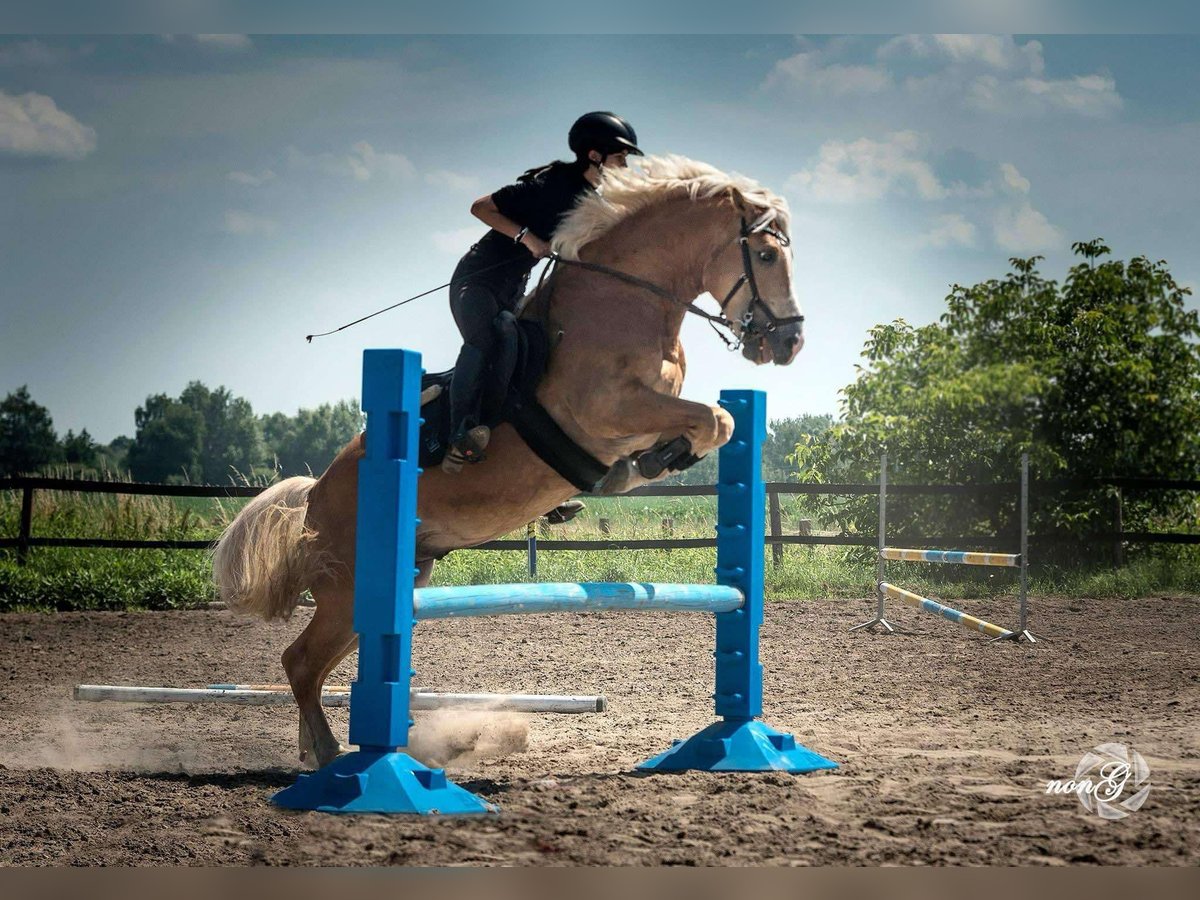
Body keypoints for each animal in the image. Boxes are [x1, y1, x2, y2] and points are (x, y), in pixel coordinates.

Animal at [212, 154, 811, 768]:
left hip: (396, 580)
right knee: (300, 662)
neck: (627, 302)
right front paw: (643, 465)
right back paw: (335, 758)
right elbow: (714, 420)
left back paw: (317, 751)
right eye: (766, 255)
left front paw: (648, 463)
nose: (788, 344)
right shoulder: (609, 410)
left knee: (311, 664)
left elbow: (717, 423)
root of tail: (314, 495)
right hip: (349, 586)